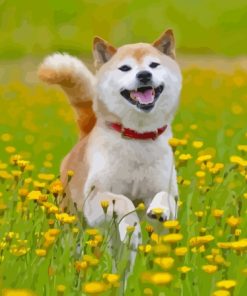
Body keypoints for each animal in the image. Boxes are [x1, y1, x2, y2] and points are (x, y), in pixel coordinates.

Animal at [38, 29, 181, 252]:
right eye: (125, 68)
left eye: (153, 65)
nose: (144, 75)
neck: (137, 136)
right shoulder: (96, 199)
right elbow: (123, 201)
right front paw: (132, 228)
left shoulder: (165, 191)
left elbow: (164, 197)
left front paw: (159, 210)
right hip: (72, 219)